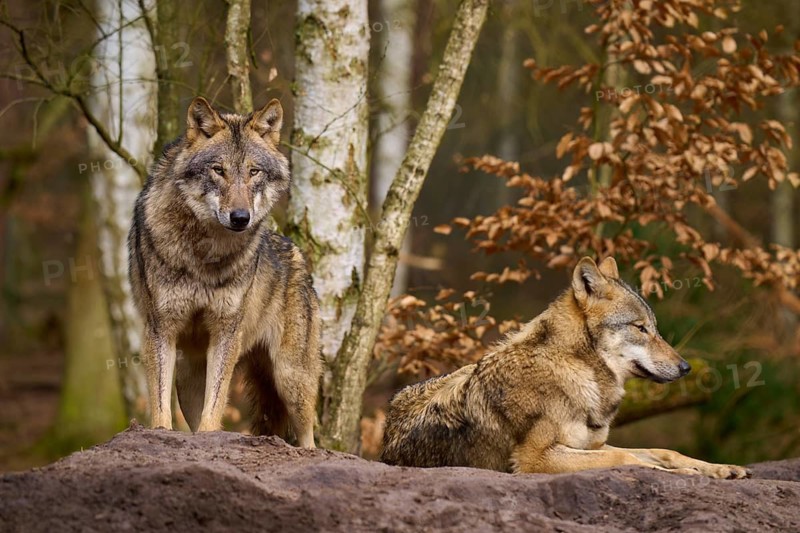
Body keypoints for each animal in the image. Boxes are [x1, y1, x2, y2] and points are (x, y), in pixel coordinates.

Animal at [128, 96, 321, 447]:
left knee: (309, 437)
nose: (241, 217)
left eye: (254, 171)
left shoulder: (226, 331)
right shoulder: (161, 328)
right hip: (190, 377)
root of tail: (299, 256)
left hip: (291, 379)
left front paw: (210, 434)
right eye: (218, 170)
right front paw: (161, 432)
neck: (205, 253)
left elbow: (215, 405)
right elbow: (160, 405)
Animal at [381, 257, 750, 478]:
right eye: (640, 328)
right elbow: (629, 460)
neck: (579, 370)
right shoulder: (536, 459)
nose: (686, 367)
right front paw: (686, 474)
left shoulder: (590, 446)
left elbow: (662, 451)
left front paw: (719, 469)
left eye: (654, 328)